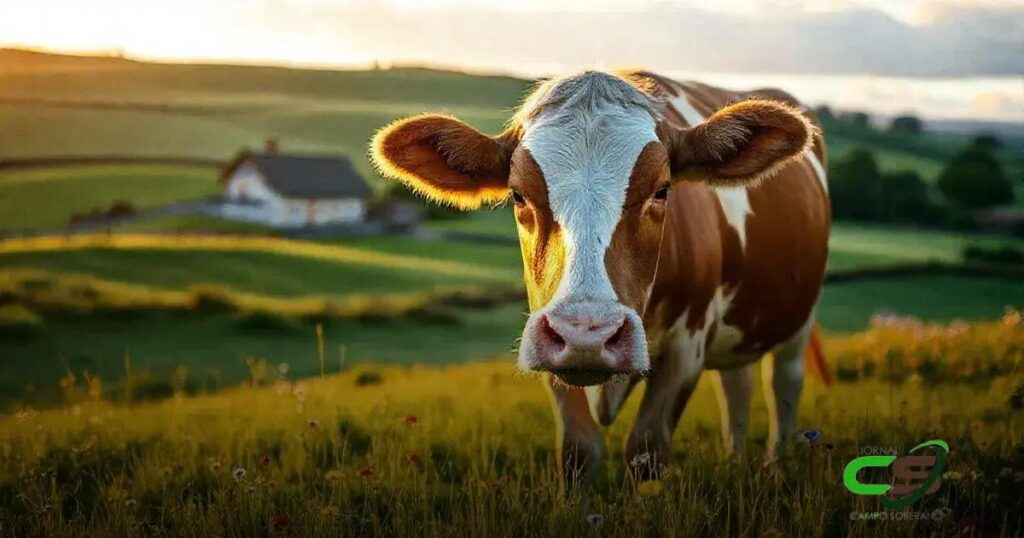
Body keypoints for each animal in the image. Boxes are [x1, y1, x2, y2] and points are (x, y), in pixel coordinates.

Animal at [370, 70, 831, 489]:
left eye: (662, 190)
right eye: (518, 195)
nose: (586, 333)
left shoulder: (687, 346)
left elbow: (646, 450)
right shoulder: (550, 343)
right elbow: (578, 451)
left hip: (798, 320)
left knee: (783, 386)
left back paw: (775, 468)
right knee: (737, 385)